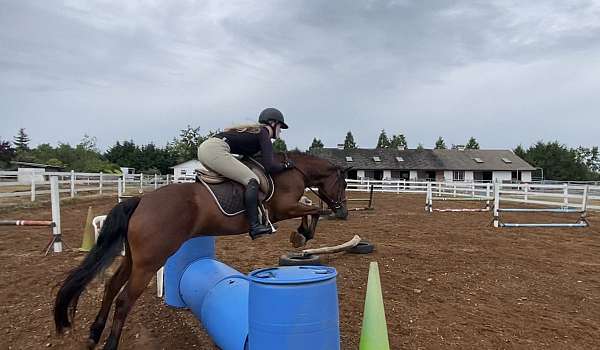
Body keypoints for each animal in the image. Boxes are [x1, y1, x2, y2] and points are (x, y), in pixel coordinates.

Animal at [54, 152, 350, 350]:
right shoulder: (284, 208)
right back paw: (110, 344)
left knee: (112, 286)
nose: (344, 213)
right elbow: (315, 208)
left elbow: (312, 207)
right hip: (150, 261)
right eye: (344, 184)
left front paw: (301, 235)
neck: (293, 171)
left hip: (134, 258)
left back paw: (94, 334)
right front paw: (302, 235)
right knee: (124, 299)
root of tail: (141, 201)